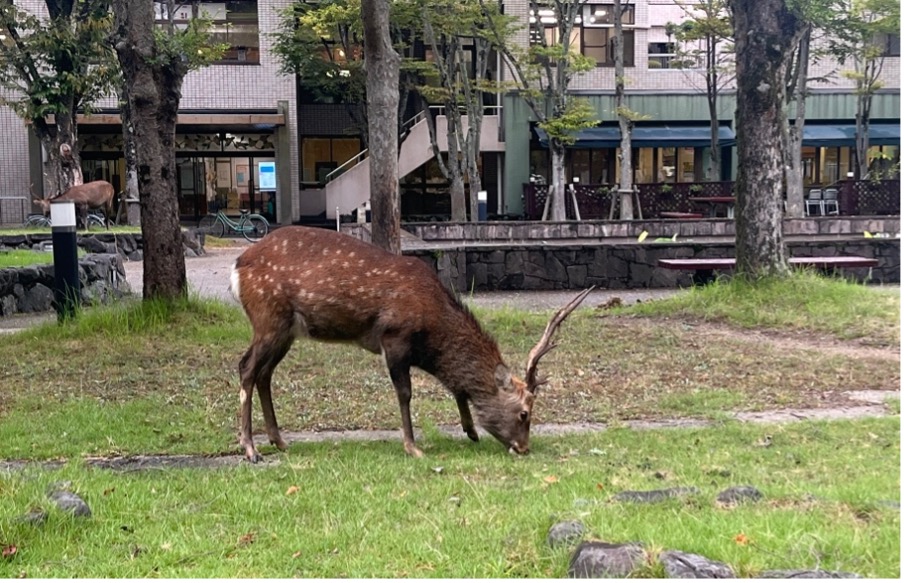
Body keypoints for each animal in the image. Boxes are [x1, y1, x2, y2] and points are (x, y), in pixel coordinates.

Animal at [230, 226, 588, 464]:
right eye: (525, 413)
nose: (524, 448)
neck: (434, 324)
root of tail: (238, 265)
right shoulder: (395, 338)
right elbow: (405, 393)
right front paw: (413, 446)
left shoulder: (421, 353)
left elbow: (455, 386)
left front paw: (470, 430)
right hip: (268, 317)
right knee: (246, 367)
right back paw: (250, 448)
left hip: (286, 331)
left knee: (264, 374)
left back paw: (279, 441)